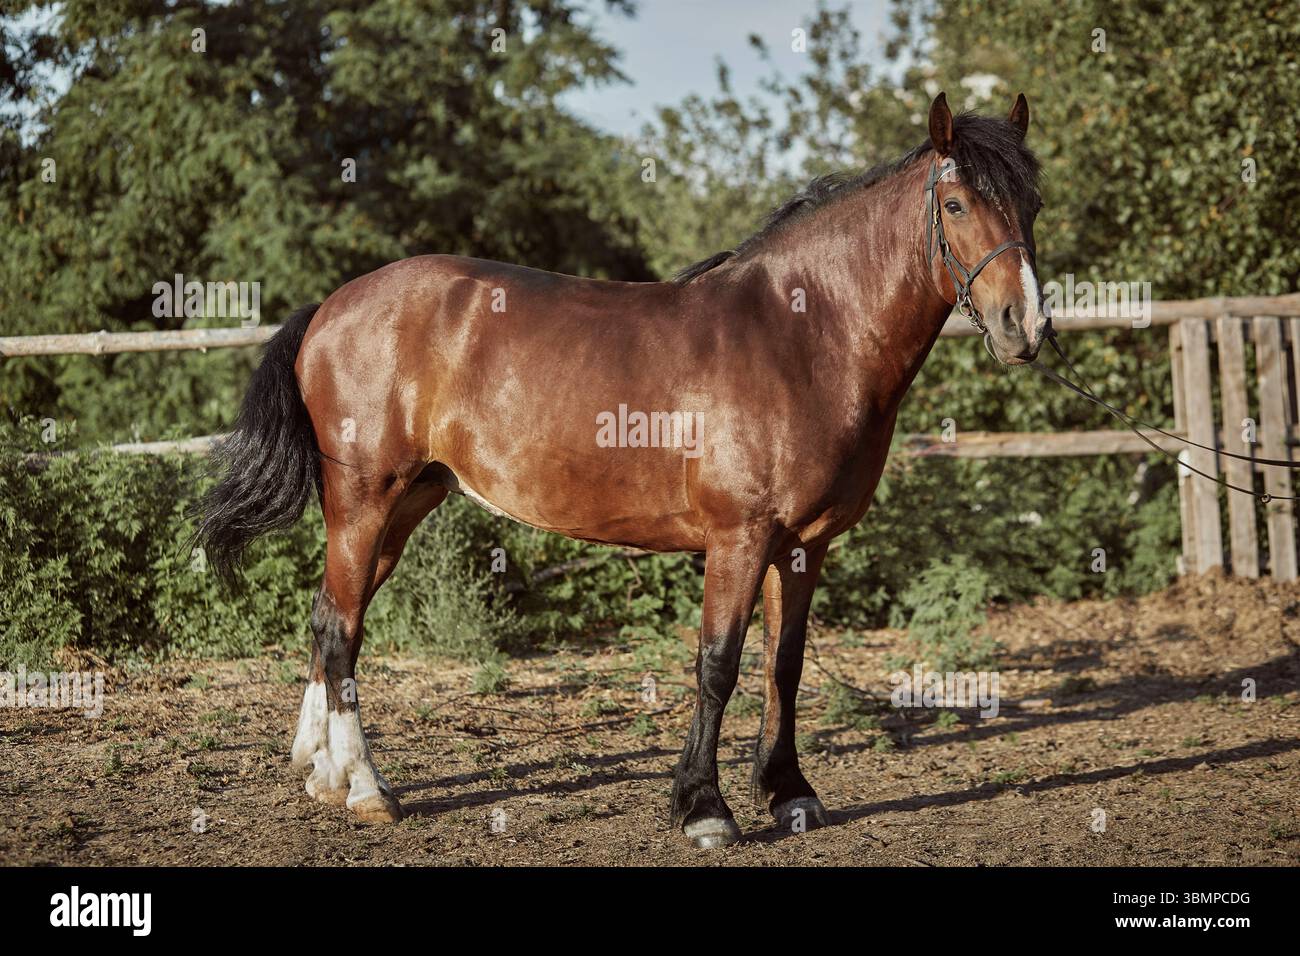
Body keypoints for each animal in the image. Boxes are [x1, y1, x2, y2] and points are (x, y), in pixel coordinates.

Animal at [196, 92, 1046, 849]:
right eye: (958, 204)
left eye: (1033, 204)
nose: (1026, 327)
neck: (804, 336)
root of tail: (331, 307)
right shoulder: (739, 540)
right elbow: (718, 665)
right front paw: (704, 808)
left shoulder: (805, 545)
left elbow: (786, 665)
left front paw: (789, 793)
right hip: (364, 502)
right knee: (341, 629)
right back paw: (368, 790)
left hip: (404, 508)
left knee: (327, 615)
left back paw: (323, 774)